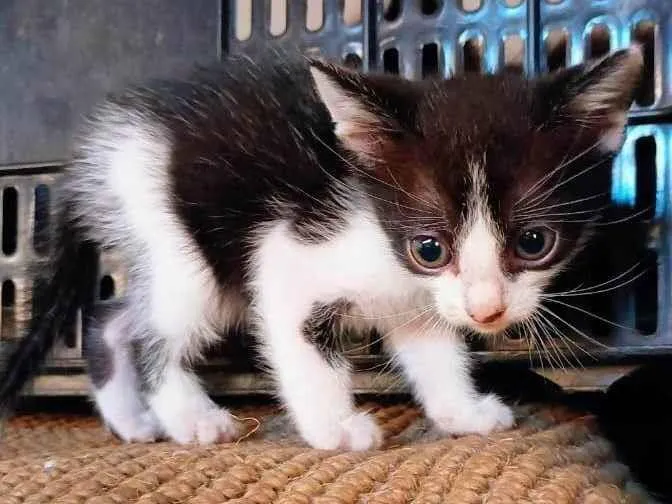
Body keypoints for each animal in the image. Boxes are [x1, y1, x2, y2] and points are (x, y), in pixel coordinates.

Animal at [0, 45, 642, 450]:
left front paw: (460, 412)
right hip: (186, 249)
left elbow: (434, 352)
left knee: (108, 317)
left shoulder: (418, 303)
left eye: (535, 242)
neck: (382, 237)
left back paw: (132, 419)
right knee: (150, 333)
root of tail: (103, 148)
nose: (488, 311)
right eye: (429, 248)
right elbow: (307, 352)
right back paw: (189, 418)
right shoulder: (286, 254)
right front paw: (334, 429)